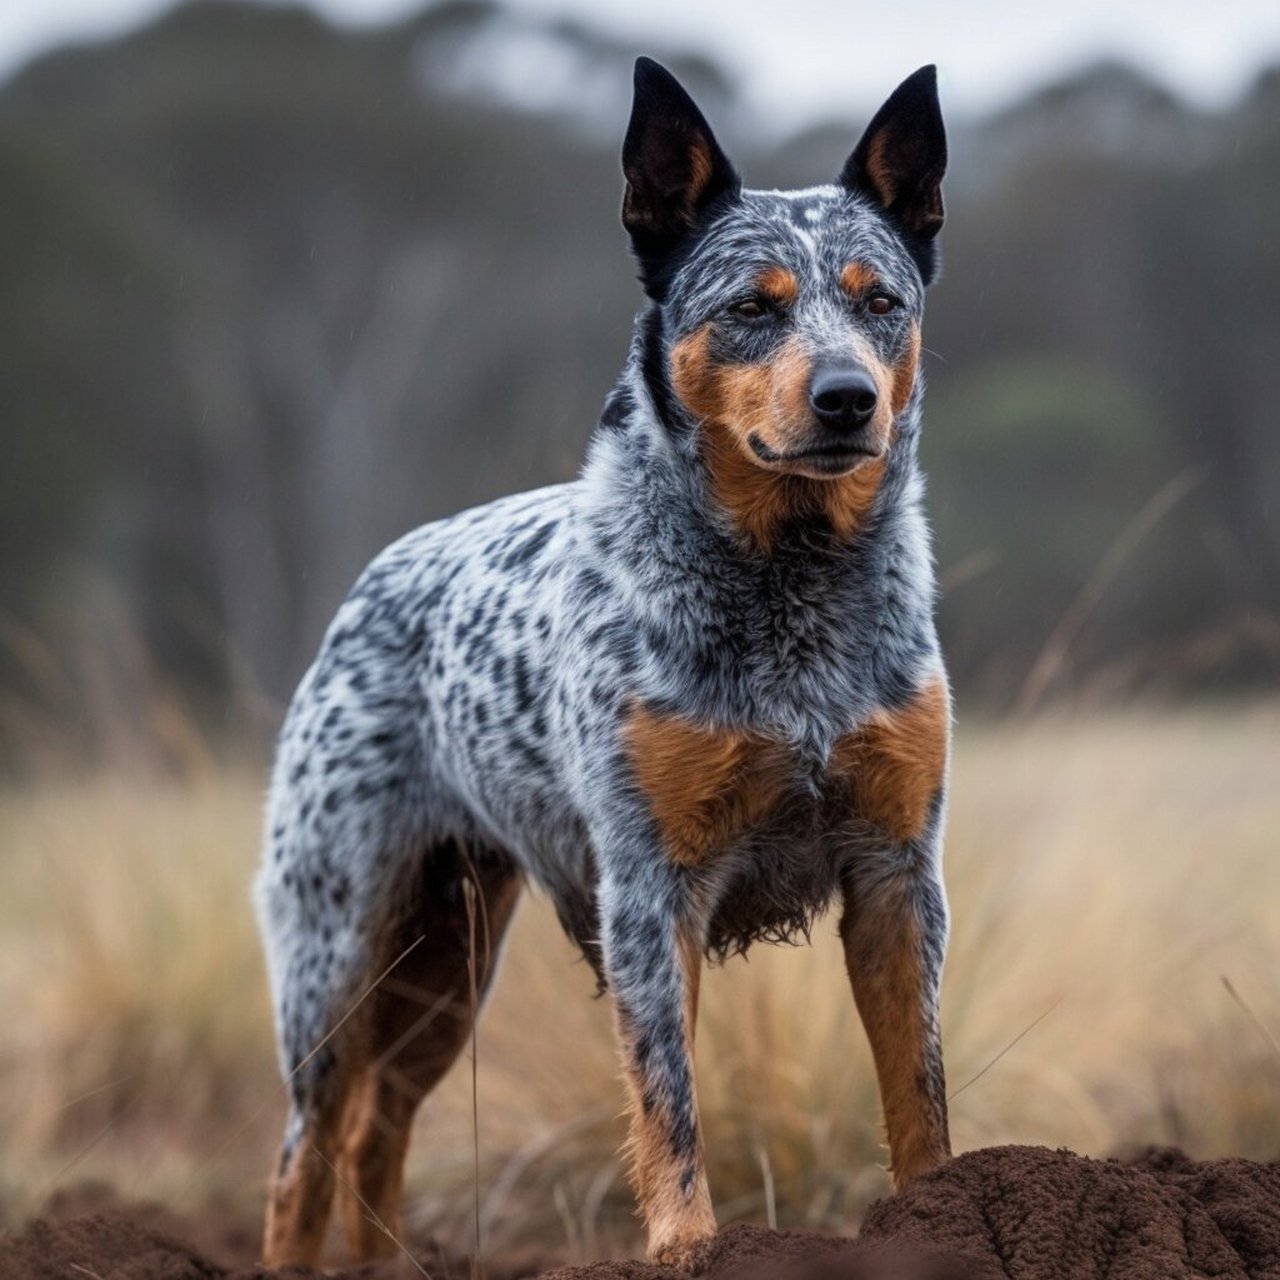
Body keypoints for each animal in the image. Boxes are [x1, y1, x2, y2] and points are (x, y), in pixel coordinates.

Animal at [254, 57, 952, 1269]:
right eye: (751, 307)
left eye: (879, 301)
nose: (847, 398)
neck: (793, 589)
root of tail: (374, 575)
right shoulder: (648, 887)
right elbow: (668, 1101)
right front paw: (686, 1244)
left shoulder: (897, 871)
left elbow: (919, 1091)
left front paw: (952, 1218)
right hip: (338, 959)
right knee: (304, 1156)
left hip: (438, 967)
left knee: (375, 1132)